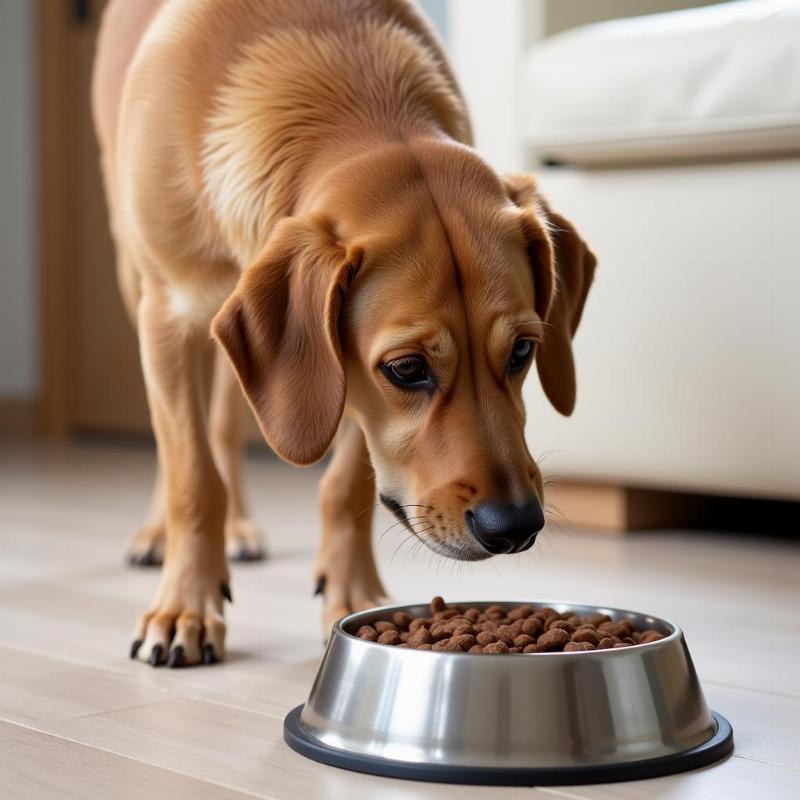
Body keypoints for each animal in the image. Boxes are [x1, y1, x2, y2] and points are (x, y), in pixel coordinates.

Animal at [94, 0, 592, 668]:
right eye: (408, 369)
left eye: (522, 351)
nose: (514, 527)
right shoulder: (167, 314)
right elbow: (192, 478)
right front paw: (184, 609)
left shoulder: (353, 390)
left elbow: (347, 484)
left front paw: (352, 592)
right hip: (136, 281)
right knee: (176, 445)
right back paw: (157, 535)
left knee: (224, 422)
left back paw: (240, 528)